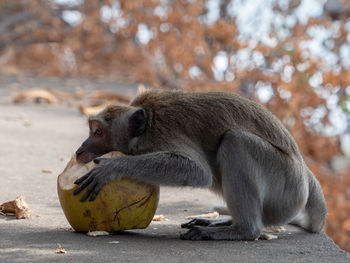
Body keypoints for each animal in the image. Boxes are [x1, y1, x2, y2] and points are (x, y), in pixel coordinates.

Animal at [74, 89, 328, 241]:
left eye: (98, 132)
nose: (80, 150)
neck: (146, 125)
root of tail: (306, 175)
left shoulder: (161, 136)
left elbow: (197, 171)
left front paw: (111, 168)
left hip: (286, 185)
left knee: (236, 142)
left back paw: (243, 230)